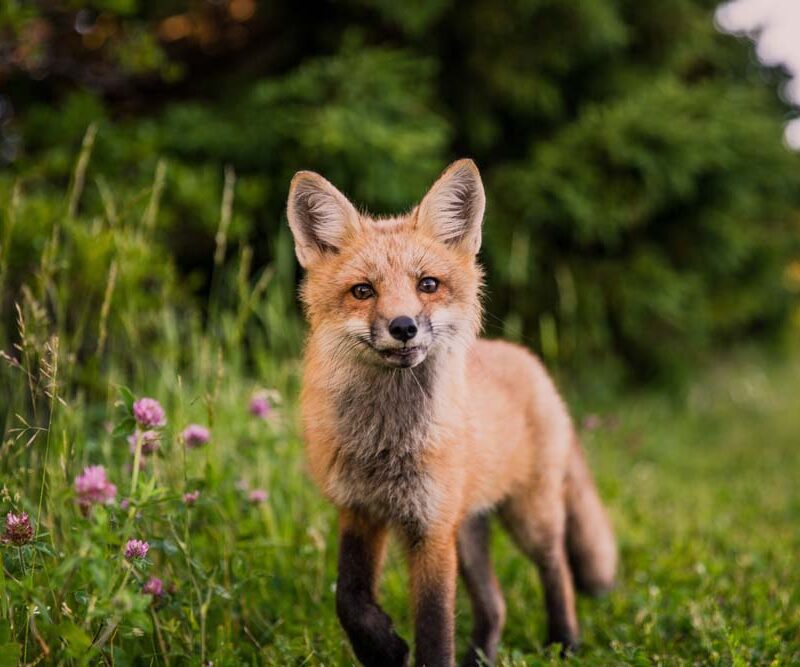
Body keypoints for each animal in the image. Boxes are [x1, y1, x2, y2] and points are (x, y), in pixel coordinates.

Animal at [286, 159, 617, 667]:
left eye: (428, 285)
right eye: (363, 291)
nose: (403, 326)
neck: (387, 444)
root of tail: (529, 360)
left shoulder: (432, 528)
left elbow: (435, 627)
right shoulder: (360, 510)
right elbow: (349, 598)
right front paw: (383, 648)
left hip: (529, 517)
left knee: (557, 568)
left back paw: (565, 642)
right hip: (469, 531)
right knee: (496, 604)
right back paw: (482, 655)